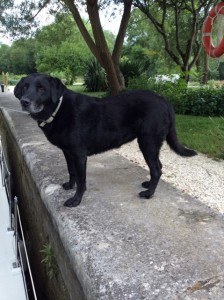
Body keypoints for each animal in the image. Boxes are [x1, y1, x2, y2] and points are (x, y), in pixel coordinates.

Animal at [14, 74, 196, 207]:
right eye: (24, 87)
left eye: (41, 89)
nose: (24, 102)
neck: (57, 110)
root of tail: (162, 99)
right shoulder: (67, 152)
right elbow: (71, 172)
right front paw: (70, 186)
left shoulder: (79, 154)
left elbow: (82, 181)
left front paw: (76, 200)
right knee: (158, 166)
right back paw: (148, 185)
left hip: (148, 142)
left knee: (157, 169)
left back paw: (149, 193)